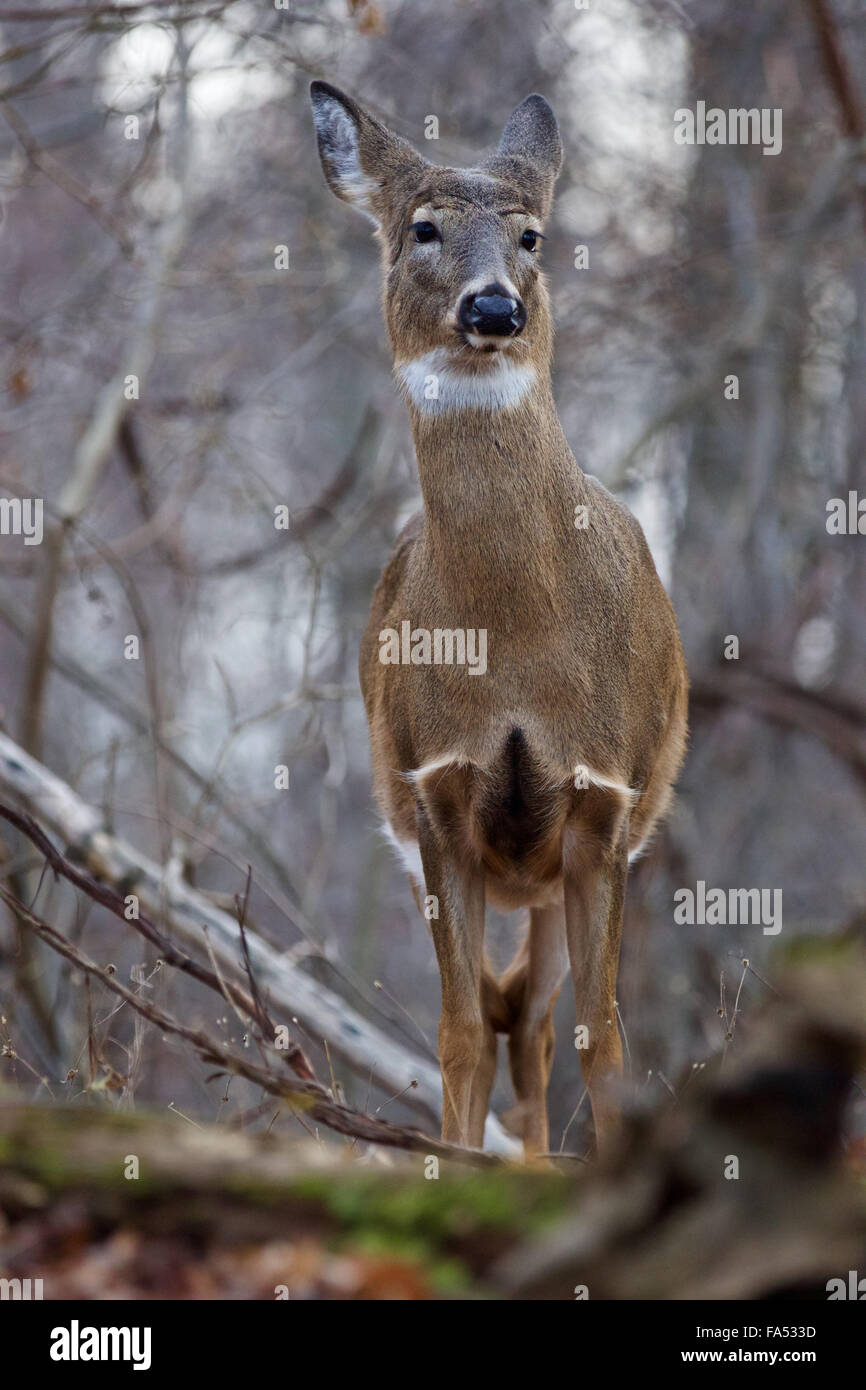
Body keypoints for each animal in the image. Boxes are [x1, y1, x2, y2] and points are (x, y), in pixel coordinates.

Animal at [310, 81, 688, 1158]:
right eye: (422, 227)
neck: (513, 640)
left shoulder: (605, 795)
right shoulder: (436, 790)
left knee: (537, 1018)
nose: (493, 307)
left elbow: (604, 1039)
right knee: (502, 1009)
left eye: (532, 235)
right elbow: (457, 1031)